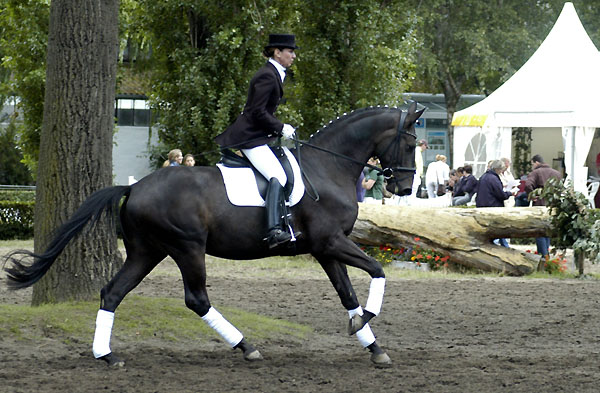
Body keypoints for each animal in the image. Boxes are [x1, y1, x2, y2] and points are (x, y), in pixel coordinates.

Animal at [5, 102, 426, 364]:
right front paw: (366, 321)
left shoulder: (325, 248)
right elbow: (377, 271)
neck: (327, 168)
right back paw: (246, 346)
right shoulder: (332, 242)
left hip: (147, 250)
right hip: (187, 246)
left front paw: (373, 346)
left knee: (113, 292)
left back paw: (106, 355)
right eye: (410, 144)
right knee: (196, 298)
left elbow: (348, 294)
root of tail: (134, 187)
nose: (405, 188)